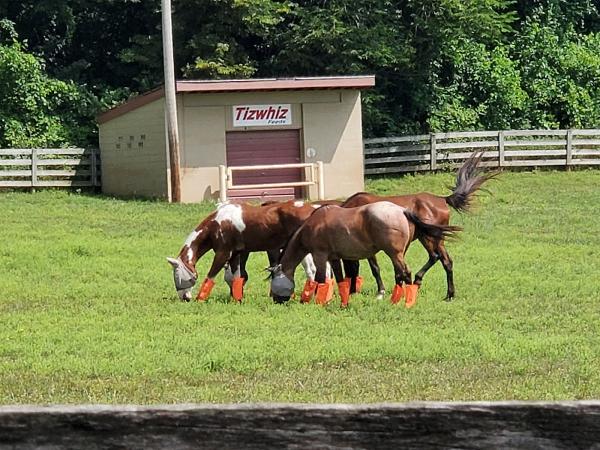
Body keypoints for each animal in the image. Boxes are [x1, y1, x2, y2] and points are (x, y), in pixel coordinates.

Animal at [168, 200, 338, 302]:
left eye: (177, 275)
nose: (185, 298)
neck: (219, 222)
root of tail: (315, 209)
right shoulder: (235, 255)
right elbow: (236, 277)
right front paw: (236, 299)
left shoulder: (223, 253)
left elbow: (211, 276)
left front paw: (200, 299)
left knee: (316, 271)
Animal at [270, 202, 462, 308]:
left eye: (273, 284)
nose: (275, 300)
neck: (312, 225)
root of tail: (403, 211)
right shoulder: (334, 258)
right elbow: (340, 281)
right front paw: (343, 303)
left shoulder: (320, 255)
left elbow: (320, 280)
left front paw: (315, 302)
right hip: (399, 253)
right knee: (401, 274)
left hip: (395, 254)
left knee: (406, 273)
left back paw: (408, 302)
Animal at [342, 149, 496, 300]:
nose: (351, 291)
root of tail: (442, 199)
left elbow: (376, 269)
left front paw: (381, 292)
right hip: (434, 239)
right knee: (445, 261)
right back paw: (448, 294)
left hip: (429, 238)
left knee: (436, 257)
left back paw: (420, 282)